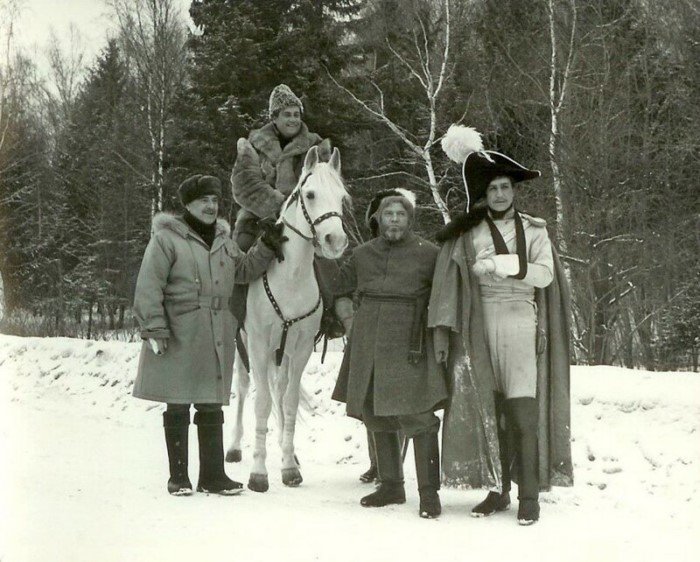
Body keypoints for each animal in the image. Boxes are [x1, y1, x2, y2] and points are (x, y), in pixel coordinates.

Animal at [230, 144, 350, 490]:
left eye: (342, 197)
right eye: (309, 194)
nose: (335, 241)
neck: (291, 277)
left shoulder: (301, 348)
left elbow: (289, 401)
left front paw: (288, 466)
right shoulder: (257, 344)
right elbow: (261, 402)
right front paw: (258, 472)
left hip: (280, 353)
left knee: (279, 390)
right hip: (242, 345)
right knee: (243, 386)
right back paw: (234, 448)